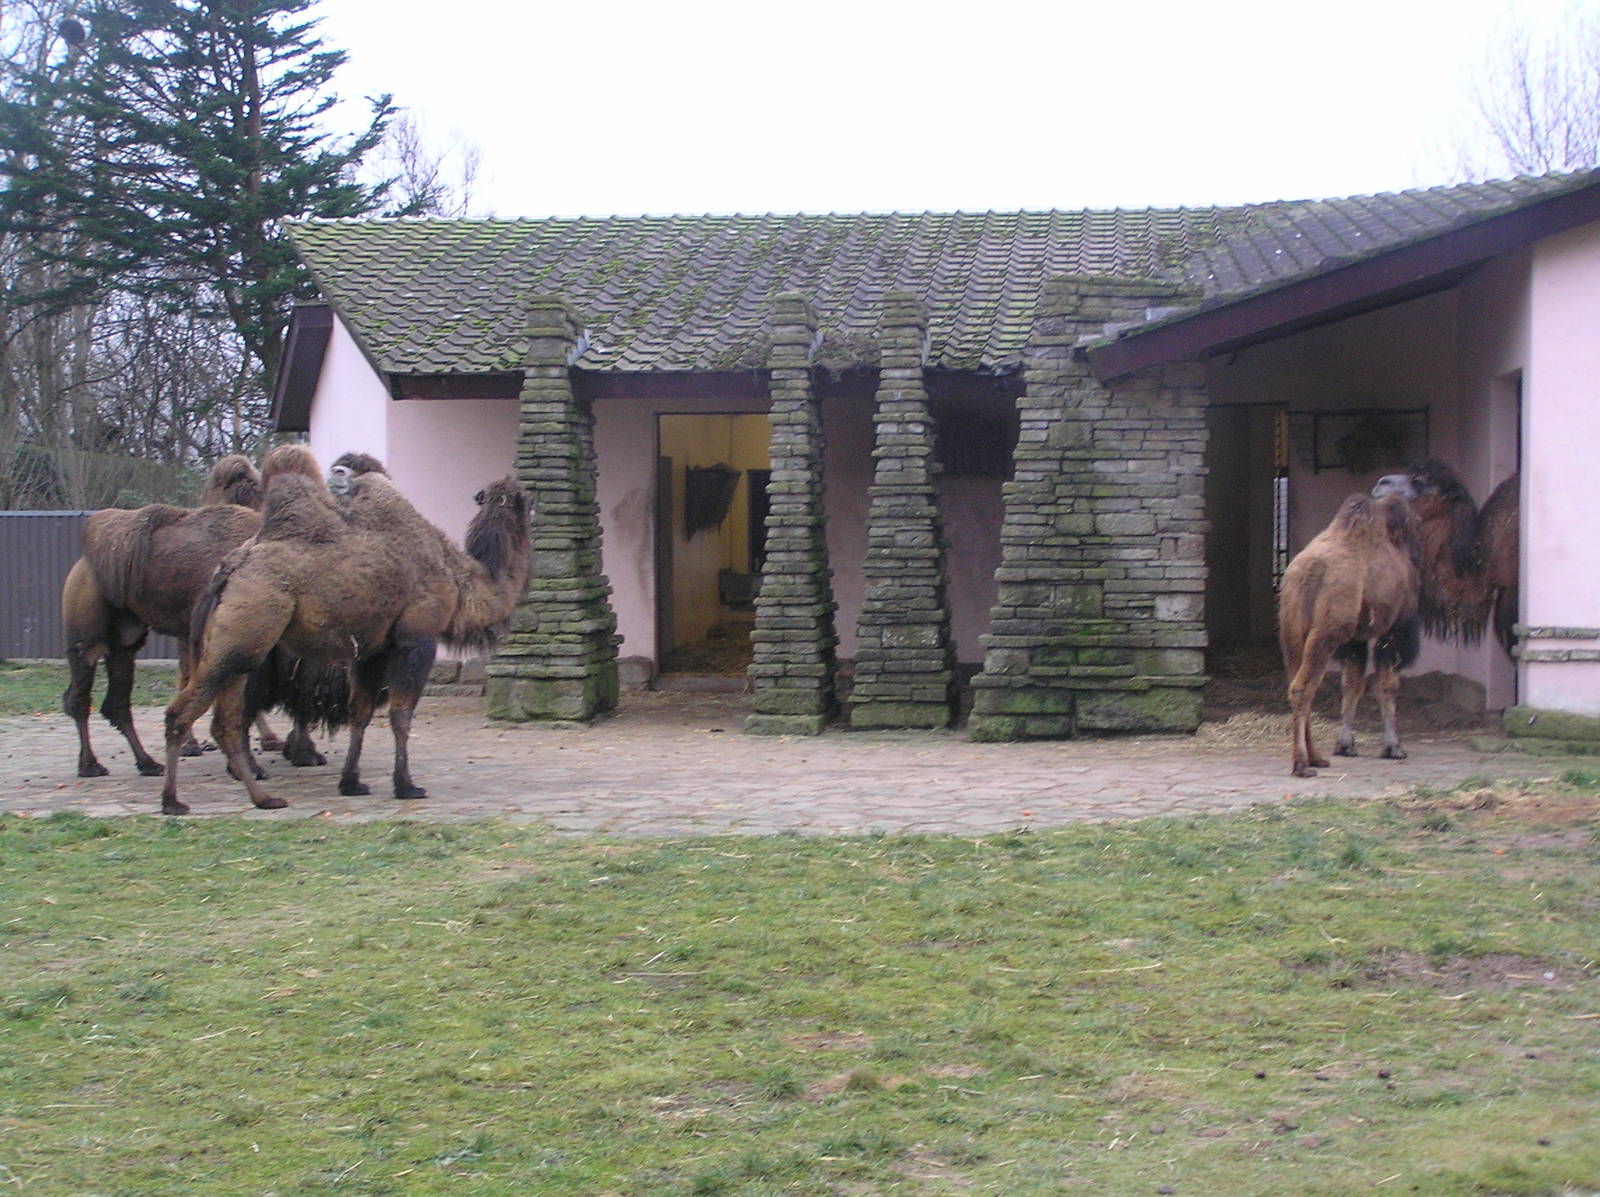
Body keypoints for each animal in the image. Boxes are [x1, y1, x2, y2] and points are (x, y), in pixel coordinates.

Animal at [158, 467, 532, 815]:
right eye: (525, 500)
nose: (535, 509)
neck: (459, 578)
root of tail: (226, 571)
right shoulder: (416, 638)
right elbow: (401, 715)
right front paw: (406, 786)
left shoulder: (374, 650)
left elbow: (361, 714)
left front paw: (351, 783)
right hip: (243, 637)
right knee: (183, 713)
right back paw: (174, 801)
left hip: (240, 651)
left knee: (226, 722)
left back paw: (263, 797)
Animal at [1279, 476, 1421, 778]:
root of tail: (1309, 574)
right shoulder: (1395, 627)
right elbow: (1387, 684)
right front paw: (1394, 747)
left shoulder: (1356, 638)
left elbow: (1353, 683)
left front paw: (1346, 745)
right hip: (1326, 633)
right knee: (1302, 688)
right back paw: (1302, 764)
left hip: (1291, 632)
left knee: (1300, 684)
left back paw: (1316, 758)